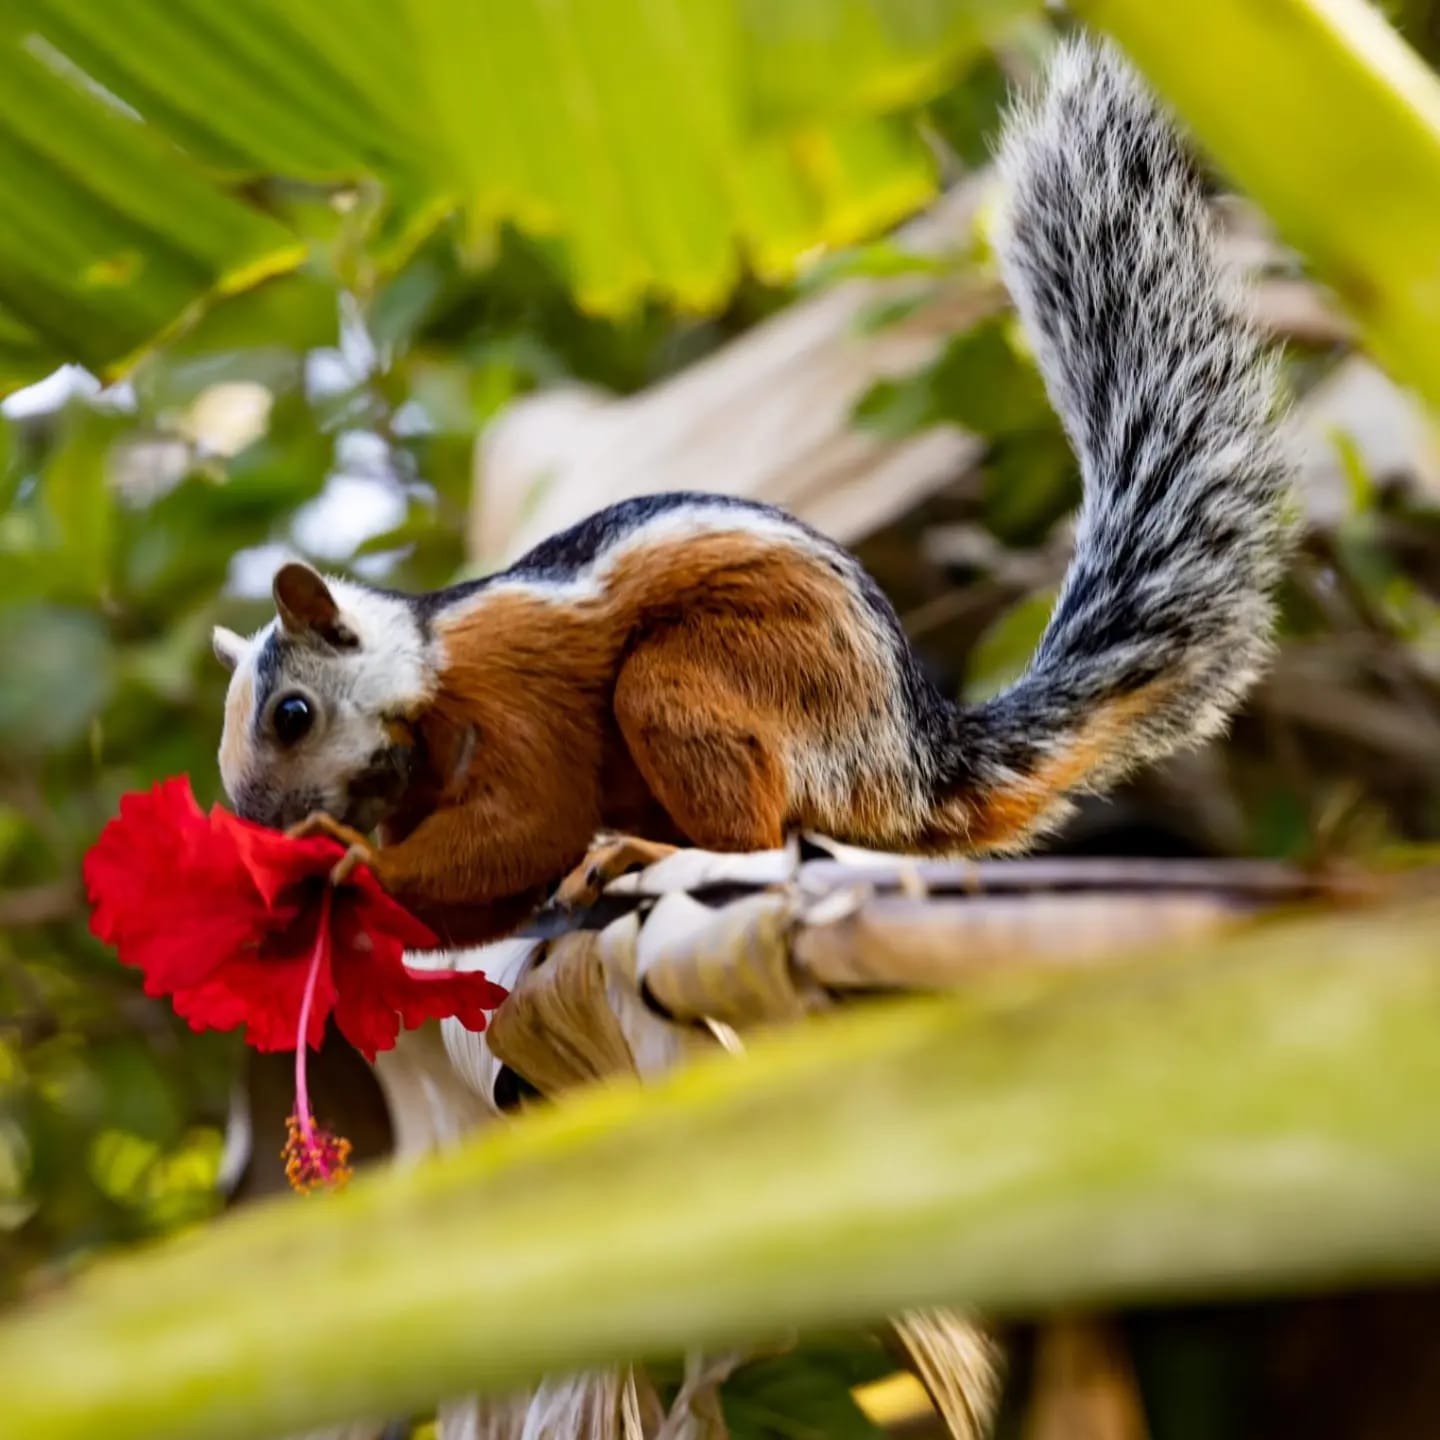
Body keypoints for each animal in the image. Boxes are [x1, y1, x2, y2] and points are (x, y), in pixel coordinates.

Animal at [212, 38, 1291, 948]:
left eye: (292, 715)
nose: (260, 820)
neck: (421, 672)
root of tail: (909, 771)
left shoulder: (514, 693)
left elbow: (526, 821)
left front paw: (357, 861)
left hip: (712, 677)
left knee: (758, 841)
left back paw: (651, 852)